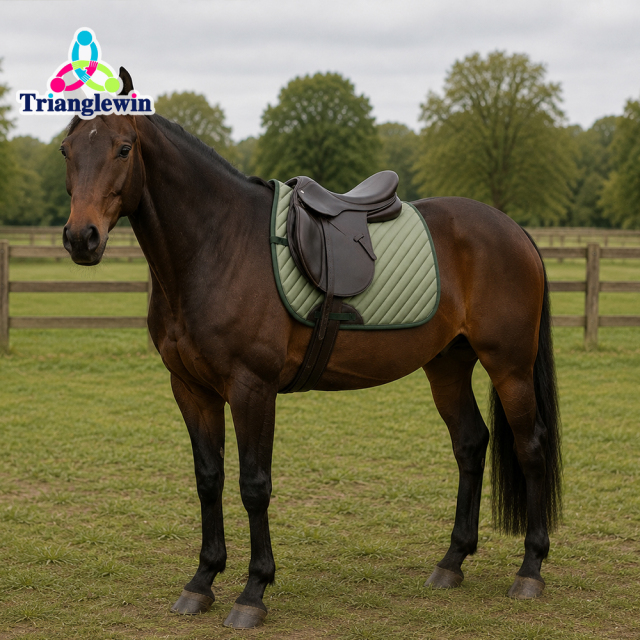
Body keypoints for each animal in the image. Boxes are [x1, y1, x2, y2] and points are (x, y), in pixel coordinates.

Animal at [59, 70, 561, 629]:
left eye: (123, 148)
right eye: (66, 150)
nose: (81, 238)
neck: (216, 244)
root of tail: (512, 229)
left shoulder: (252, 389)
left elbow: (254, 485)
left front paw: (253, 590)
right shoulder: (191, 389)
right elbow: (209, 479)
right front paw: (202, 580)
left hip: (509, 366)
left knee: (531, 448)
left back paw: (530, 569)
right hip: (447, 365)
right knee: (471, 444)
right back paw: (451, 562)